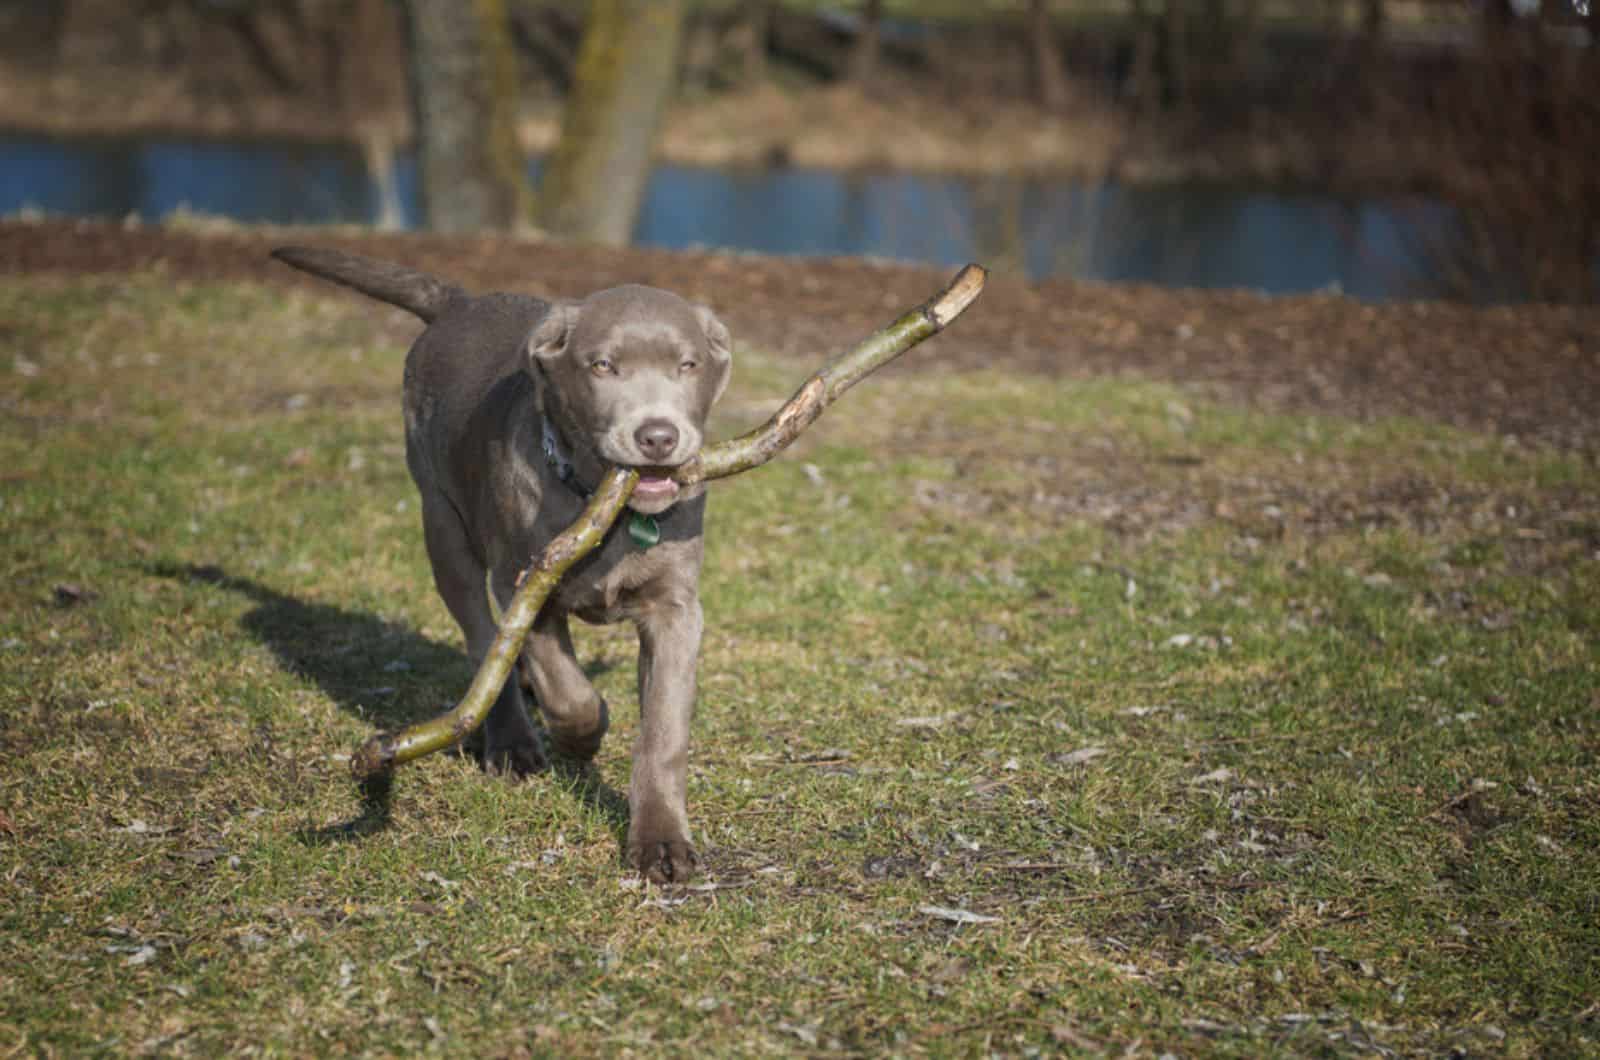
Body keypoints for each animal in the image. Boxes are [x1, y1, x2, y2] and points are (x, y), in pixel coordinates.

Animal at [273, 244, 732, 883]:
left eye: (688, 365)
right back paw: (511, 739)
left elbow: (663, 732)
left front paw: (661, 843)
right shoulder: (523, 580)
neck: (603, 505)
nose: (659, 436)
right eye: (603, 366)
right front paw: (583, 734)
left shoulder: (676, 607)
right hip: (442, 524)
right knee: (481, 639)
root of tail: (459, 302)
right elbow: (567, 687)